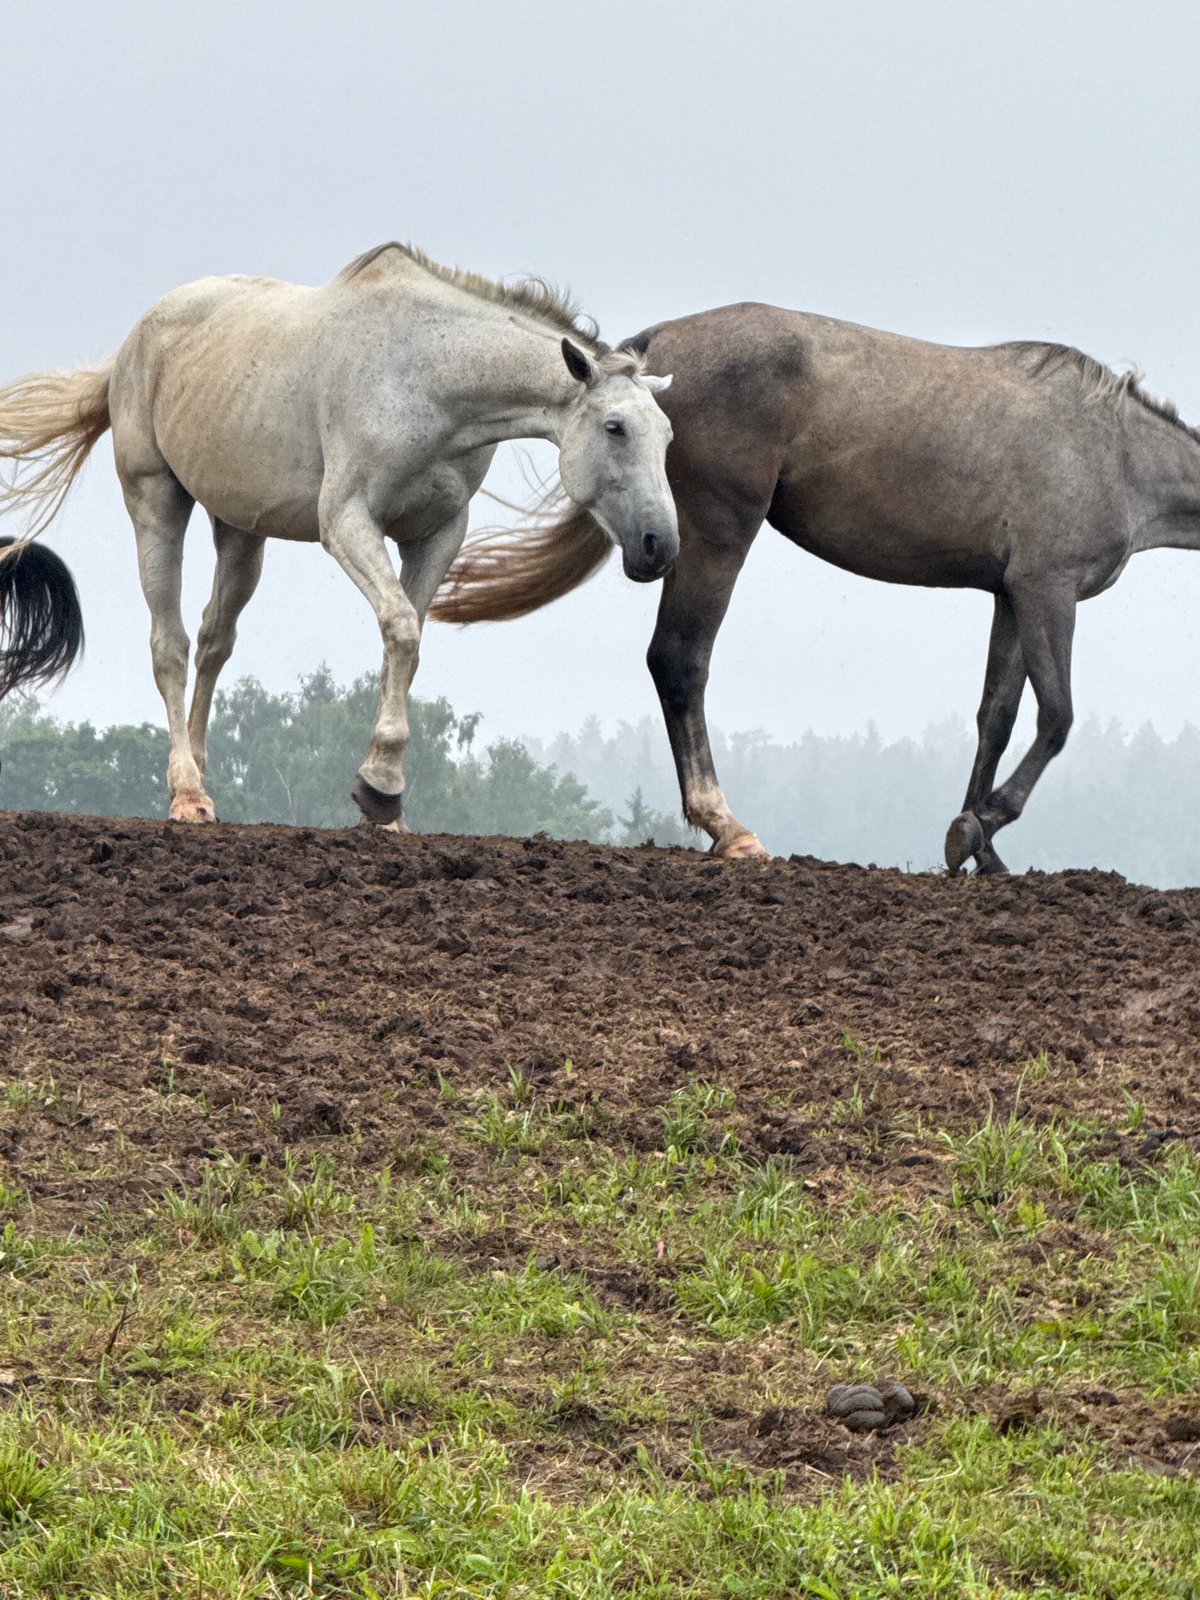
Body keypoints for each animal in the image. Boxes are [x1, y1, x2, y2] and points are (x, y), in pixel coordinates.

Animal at [0, 243, 676, 826]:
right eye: (615, 427)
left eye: (667, 433)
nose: (660, 545)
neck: (428, 374)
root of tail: (132, 344)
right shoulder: (347, 522)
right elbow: (400, 628)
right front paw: (380, 788)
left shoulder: (437, 535)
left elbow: (405, 643)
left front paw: (384, 796)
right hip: (155, 502)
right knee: (170, 645)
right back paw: (187, 794)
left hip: (241, 532)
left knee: (215, 641)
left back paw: (197, 775)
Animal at [431, 302, 1200, 874]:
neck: (1114, 451)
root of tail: (660, 348)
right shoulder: (1049, 590)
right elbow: (1056, 718)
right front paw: (984, 823)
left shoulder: (1011, 595)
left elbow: (997, 716)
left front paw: (979, 845)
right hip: (719, 538)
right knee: (680, 659)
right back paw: (727, 828)